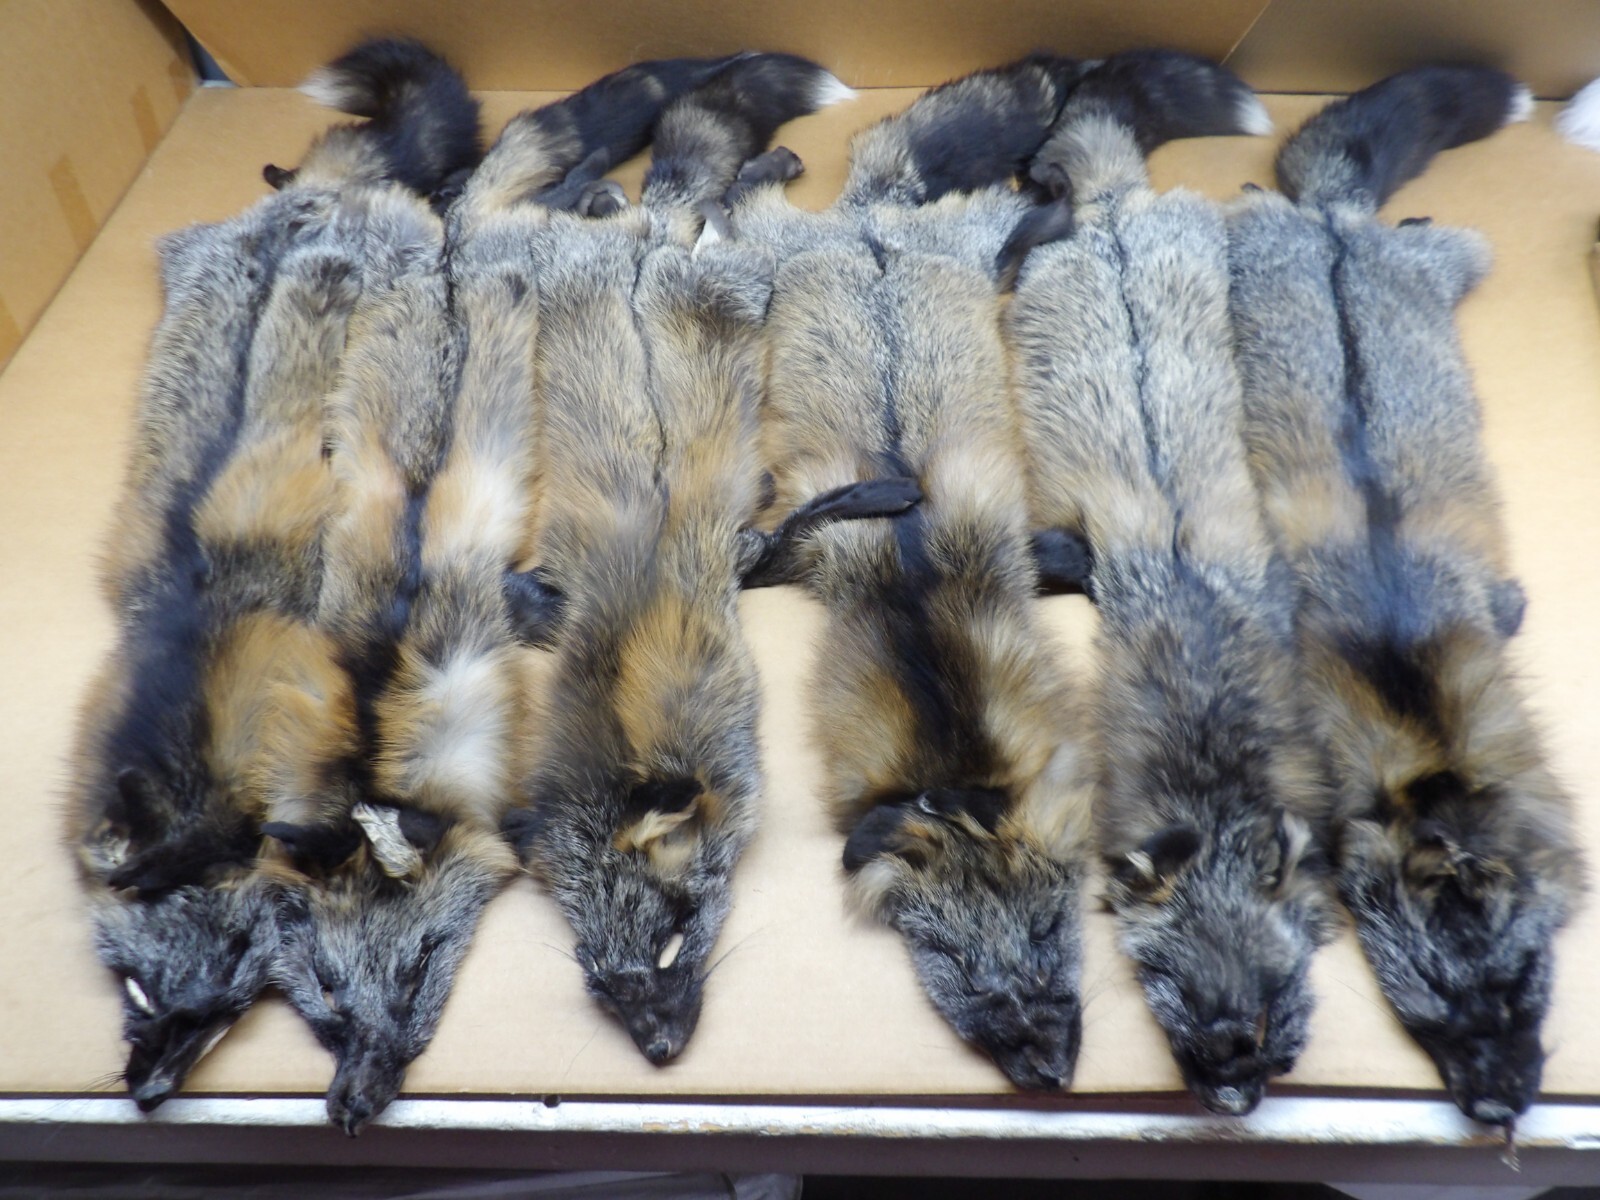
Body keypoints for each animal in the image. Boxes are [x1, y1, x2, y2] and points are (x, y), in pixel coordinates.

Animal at [1225, 65, 1584, 1129]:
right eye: (1429, 1010)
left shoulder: (1494, 610)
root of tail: (1329, 224)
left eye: (1521, 985)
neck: (1424, 744)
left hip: (1443, 257)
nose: (1500, 1114)